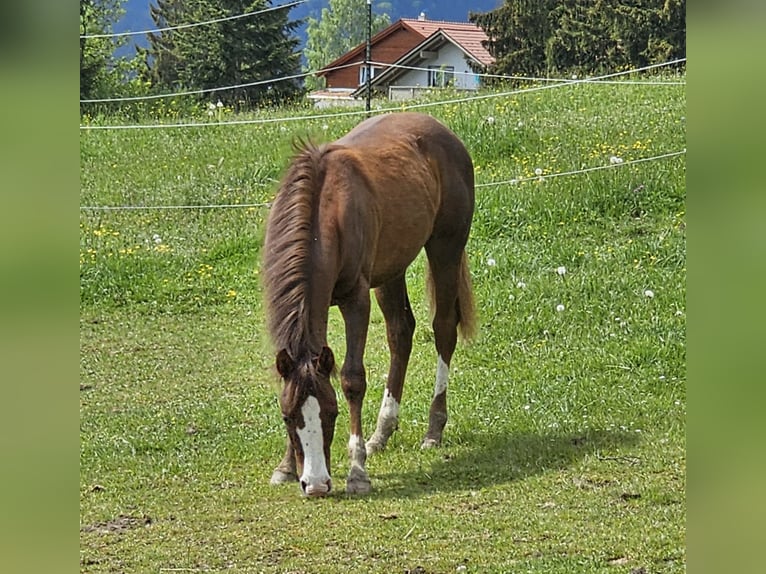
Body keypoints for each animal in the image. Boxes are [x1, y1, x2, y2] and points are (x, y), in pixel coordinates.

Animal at [268, 113, 476, 500]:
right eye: (289, 418)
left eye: (331, 414)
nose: (315, 485)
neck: (325, 210)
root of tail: (444, 132)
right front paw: (286, 467)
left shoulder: (356, 299)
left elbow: (352, 378)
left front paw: (357, 471)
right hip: (390, 270)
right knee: (401, 332)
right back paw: (381, 432)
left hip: (445, 248)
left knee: (443, 329)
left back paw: (433, 430)